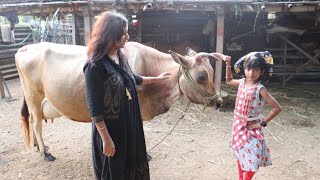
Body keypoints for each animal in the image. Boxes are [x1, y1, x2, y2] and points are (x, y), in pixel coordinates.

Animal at [15, 41, 225, 161]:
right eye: (201, 76)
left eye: (212, 72)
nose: (219, 102)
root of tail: (25, 48)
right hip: (34, 97)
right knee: (36, 123)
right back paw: (45, 153)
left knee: (34, 123)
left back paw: (39, 147)